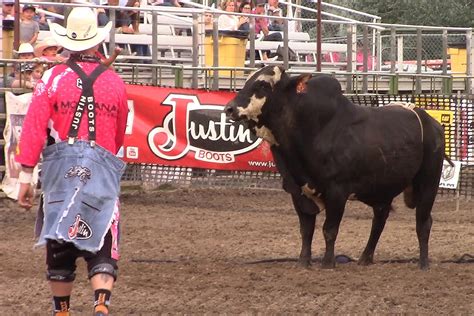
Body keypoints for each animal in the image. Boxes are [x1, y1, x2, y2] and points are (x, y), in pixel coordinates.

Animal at [224, 66, 446, 270]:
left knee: (423, 223)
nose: (229, 108)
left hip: (429, 182)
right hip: (383, 187)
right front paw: (303, 262)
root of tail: (430, 122)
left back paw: (423, 264)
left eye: (263, 84)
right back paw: (365, 259)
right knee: (380, 218)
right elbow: (306, 230)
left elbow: (329, 229)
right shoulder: (298, 191)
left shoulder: (337, 191)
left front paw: (327, 263)